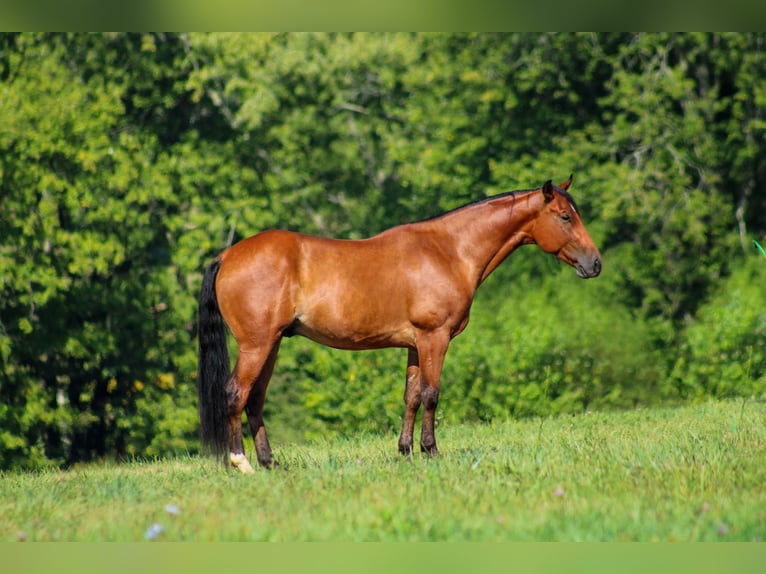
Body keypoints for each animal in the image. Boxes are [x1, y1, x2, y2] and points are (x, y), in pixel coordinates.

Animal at [196, 176, 600, 472]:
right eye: (565, 216)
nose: (595, 264)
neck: (448, 251)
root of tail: (227, 255)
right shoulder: (435, 338)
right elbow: (431, 395)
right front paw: (431, 451)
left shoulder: (414, 345)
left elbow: (411, 396)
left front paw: (405, 451)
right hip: (257, 344)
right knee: (236, 393)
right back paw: (242, 463)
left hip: (274, 343)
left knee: (255, 399)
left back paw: (270, 463)